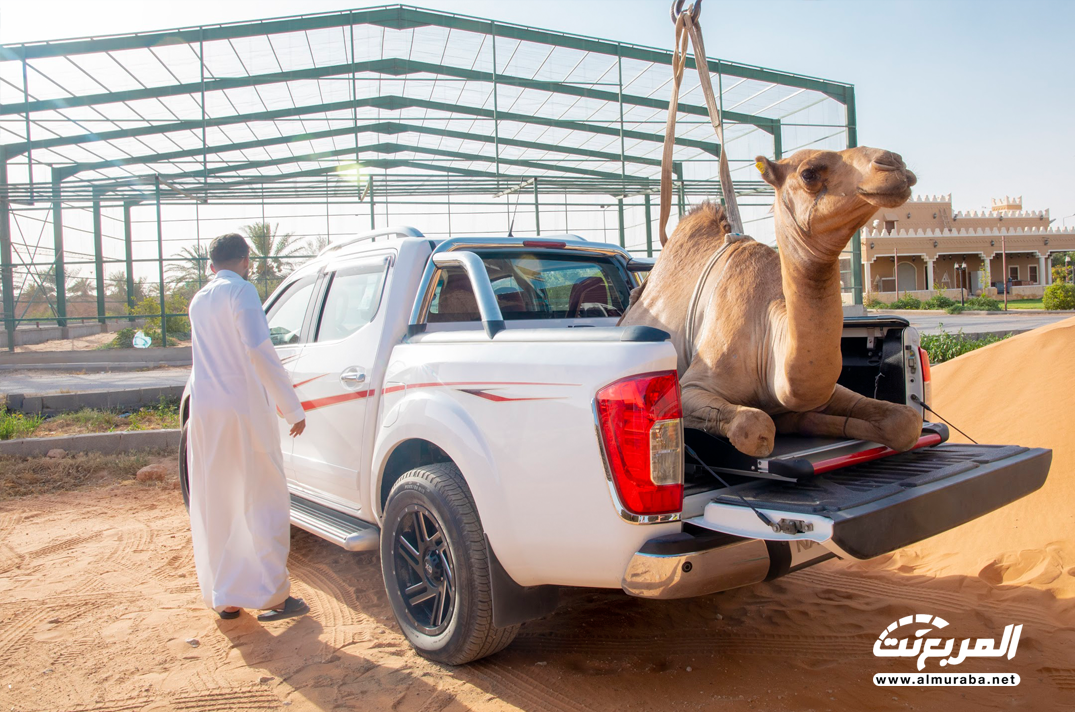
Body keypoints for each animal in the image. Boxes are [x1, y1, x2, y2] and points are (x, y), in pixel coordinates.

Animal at [623, 147, 924, 458]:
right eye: (809, 174)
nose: (893, 163)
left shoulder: (826, 391)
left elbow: (905, 420)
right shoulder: (690, 386)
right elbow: (755, 425)